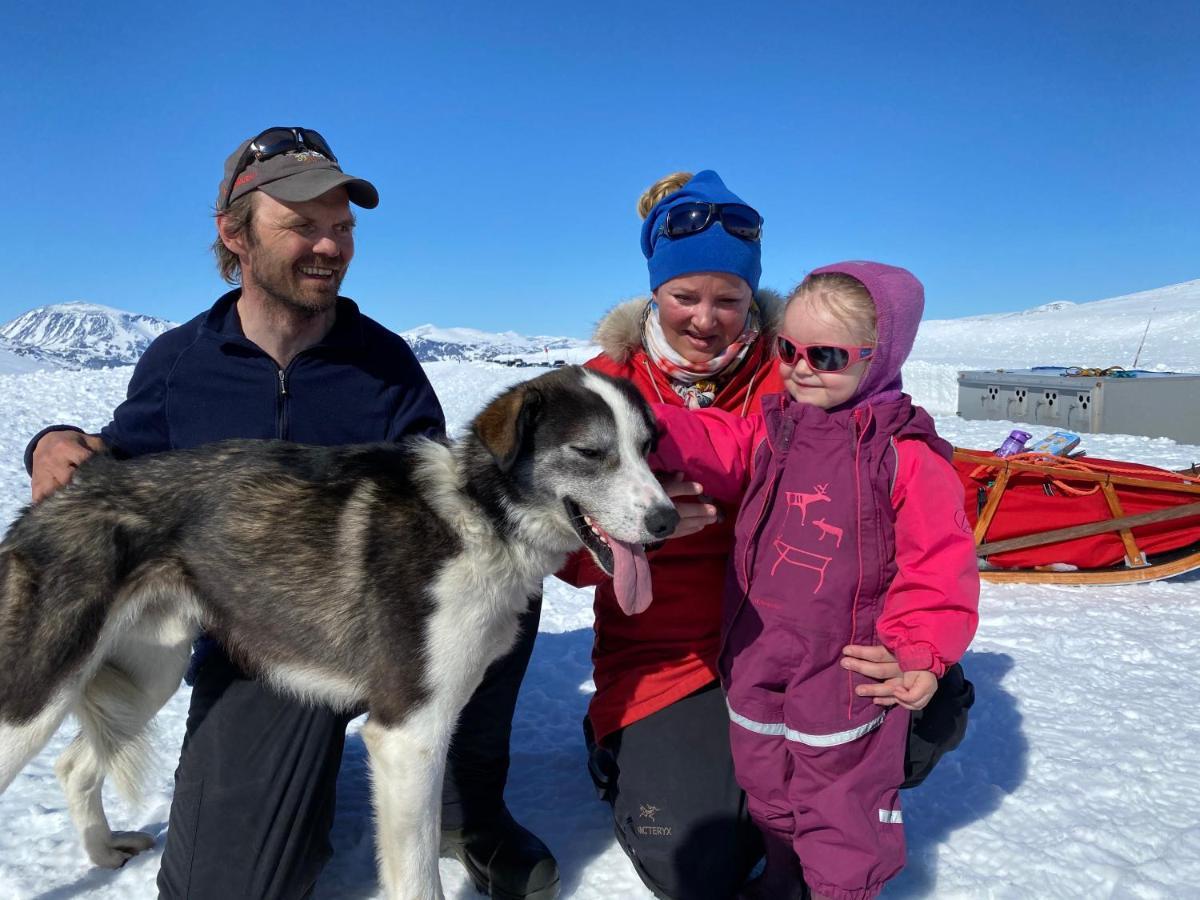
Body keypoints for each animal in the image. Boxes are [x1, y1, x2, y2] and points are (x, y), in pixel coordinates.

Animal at [0, 367, 676, 900]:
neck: (479, 516)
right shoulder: (407, 734)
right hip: (37, 694)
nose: (668, 519)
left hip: (149, 673)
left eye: (647, 448)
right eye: (590, 452)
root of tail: (58, 499)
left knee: (73, 764)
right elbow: (417, 879)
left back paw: (102, 852)